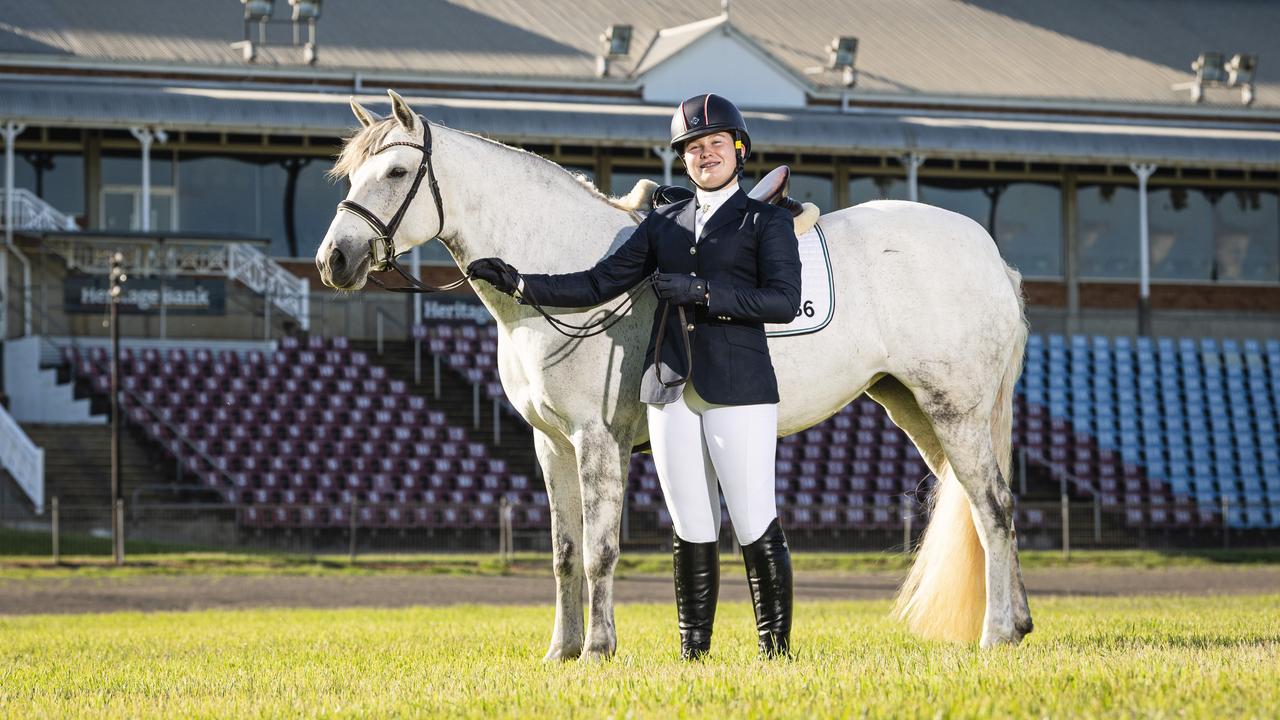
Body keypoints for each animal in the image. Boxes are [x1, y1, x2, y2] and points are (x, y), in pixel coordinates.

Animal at [317, 90, 1029, 661]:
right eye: (351, 173)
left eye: (398, 171)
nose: (334, 260)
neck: (566, 266)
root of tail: (990, 254)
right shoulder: (550, 445)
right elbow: (565, 553)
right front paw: (560, 651)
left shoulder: (596, 440)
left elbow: (601, 549)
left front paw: (598, 650)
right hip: (913, 408)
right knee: (978, 507)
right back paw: (1017, 624)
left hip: (954, 411)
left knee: (992, 507)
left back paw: (996, 635)